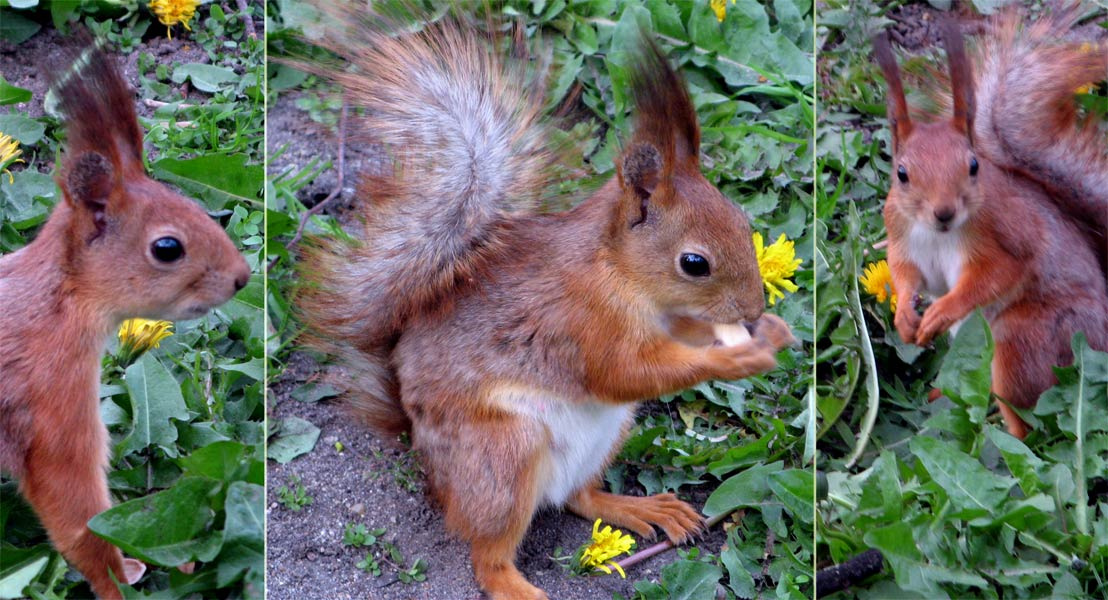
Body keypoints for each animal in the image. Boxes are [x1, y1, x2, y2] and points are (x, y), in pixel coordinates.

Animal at [0, 46, 250, 599]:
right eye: (167, 247)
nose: (243, 278)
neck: (58, 302)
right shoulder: (52, 401)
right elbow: (75, 513)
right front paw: (118, 580)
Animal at [295, 10, 795, 600]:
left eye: (743, 223)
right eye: (694, 263)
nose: (751, 310)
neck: (619, 273)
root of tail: (427, 460)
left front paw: (769, 332)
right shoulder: (582, 324)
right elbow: (625, 373)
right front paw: (735, 356)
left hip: (605, 437)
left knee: (579, 497)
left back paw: (639, 507)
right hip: (503, 457)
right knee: (488, 556)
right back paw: (518, 585)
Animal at [874, 9, 1108, 440]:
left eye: (973, 165)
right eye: (901, 173)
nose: (944, 212)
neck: (937, 233)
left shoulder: (1006, 236)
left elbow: (994, 276)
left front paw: (942, 311)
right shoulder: (900, 236)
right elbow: (907, 275)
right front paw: (905, 317)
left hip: (1023, 340)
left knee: (1027, 422)